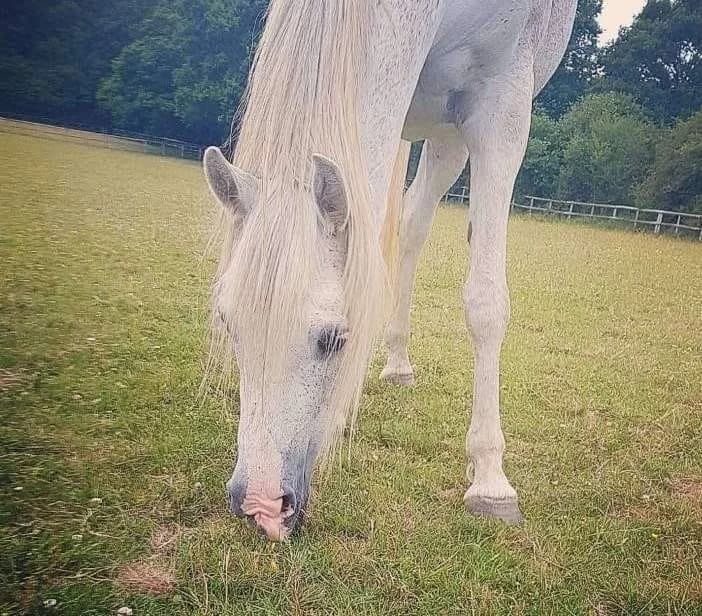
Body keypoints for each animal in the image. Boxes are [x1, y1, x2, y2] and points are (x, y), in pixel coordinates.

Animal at [203, 0, 577, 541]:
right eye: (230, 325)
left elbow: (486, 302)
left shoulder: (502, 105)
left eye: (334, 339)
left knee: (414, 222)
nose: (262, 505)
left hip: (447, 132)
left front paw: (491, 482)